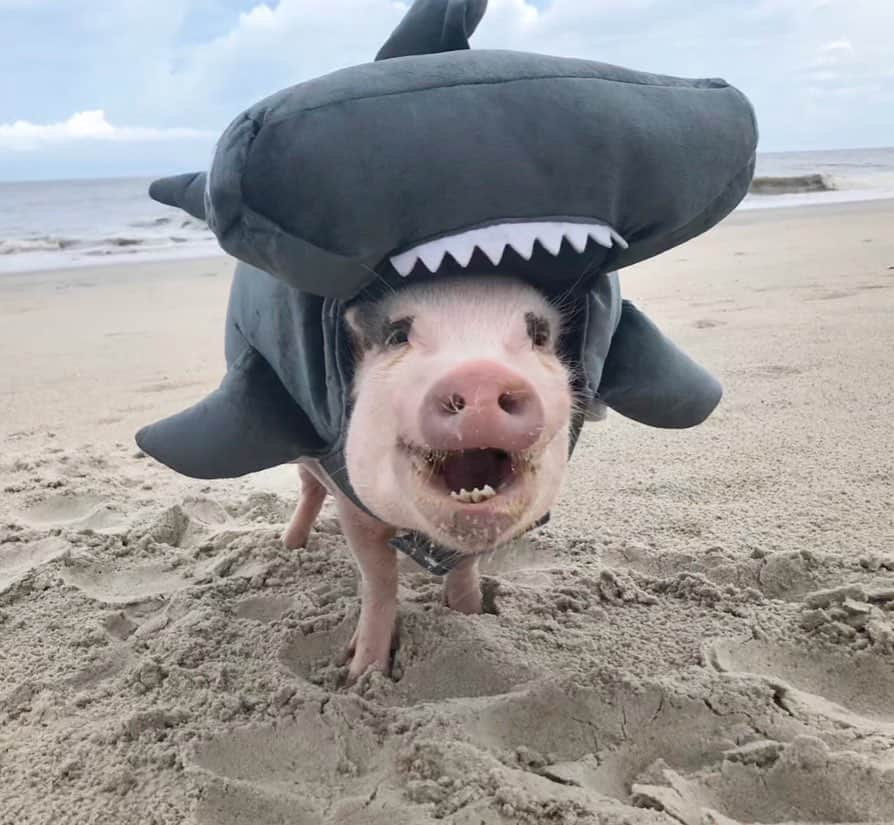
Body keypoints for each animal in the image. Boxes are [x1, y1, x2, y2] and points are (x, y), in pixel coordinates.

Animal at [282, 274, 576, 680]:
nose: (480, 374)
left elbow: (465, 565)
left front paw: (472, 614)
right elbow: (379, 579)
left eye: (540, 334)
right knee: (309, 488)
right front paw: (361, 675)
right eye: (397, 335)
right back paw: (289, 546)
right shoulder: (353, 503)